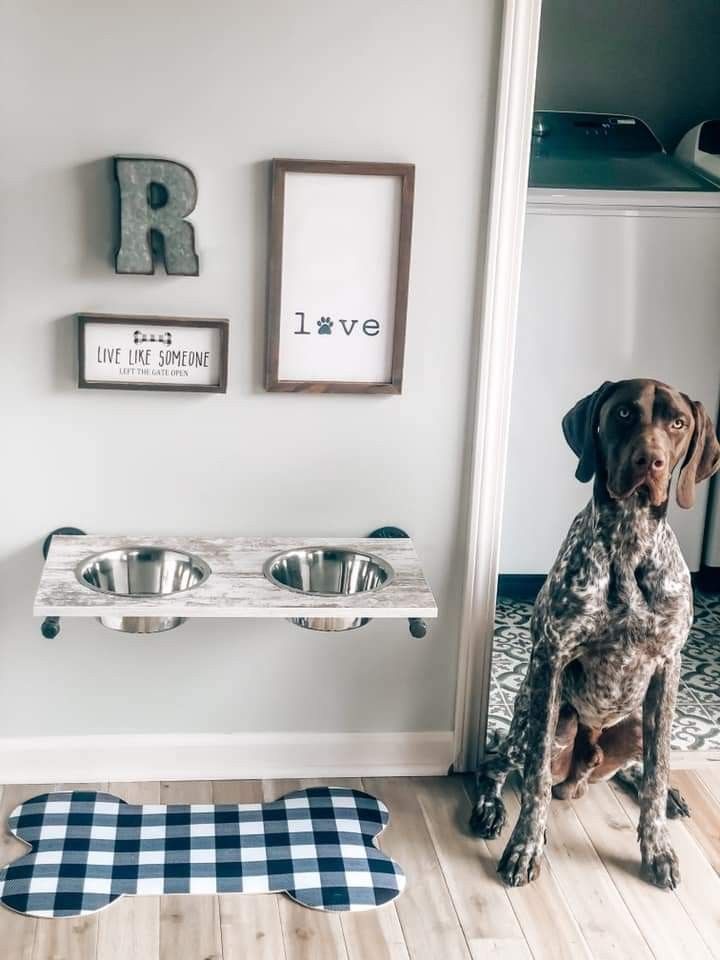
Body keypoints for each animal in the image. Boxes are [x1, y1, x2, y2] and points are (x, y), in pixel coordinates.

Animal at [470, 378, 720, 888]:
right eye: (623, 413)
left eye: (678, 423)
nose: (650, 461)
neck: (629, 537)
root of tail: (581, 777)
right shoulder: (551, 657)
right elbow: (535, 784)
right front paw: (525, 847)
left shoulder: (668, 666)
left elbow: (659, 769)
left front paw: (658, 846)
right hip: (538, 723)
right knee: (500, 765)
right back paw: (490, 810)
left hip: (640, 721)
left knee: (637, 768)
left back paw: (662, 792)